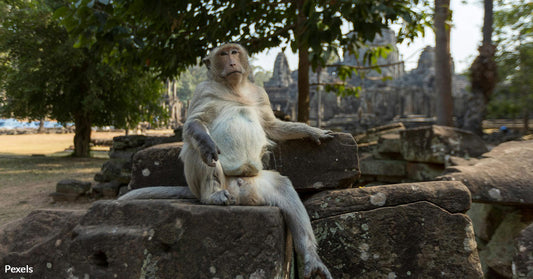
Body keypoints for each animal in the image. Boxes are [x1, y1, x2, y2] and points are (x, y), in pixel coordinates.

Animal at [120, 42, 332, 278]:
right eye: (223, 54)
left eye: (234, 52)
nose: (232, 62)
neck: (234, 88)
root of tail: (239, 194)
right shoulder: (202, 90)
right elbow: (193, 123)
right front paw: (206, 143)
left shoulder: (260, 94)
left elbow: (272, 125)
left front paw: (312, 131)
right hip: (210, 184)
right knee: (197, 150)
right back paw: (212, 194)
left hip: (257, 185)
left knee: (284, 187)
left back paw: (311, 259)